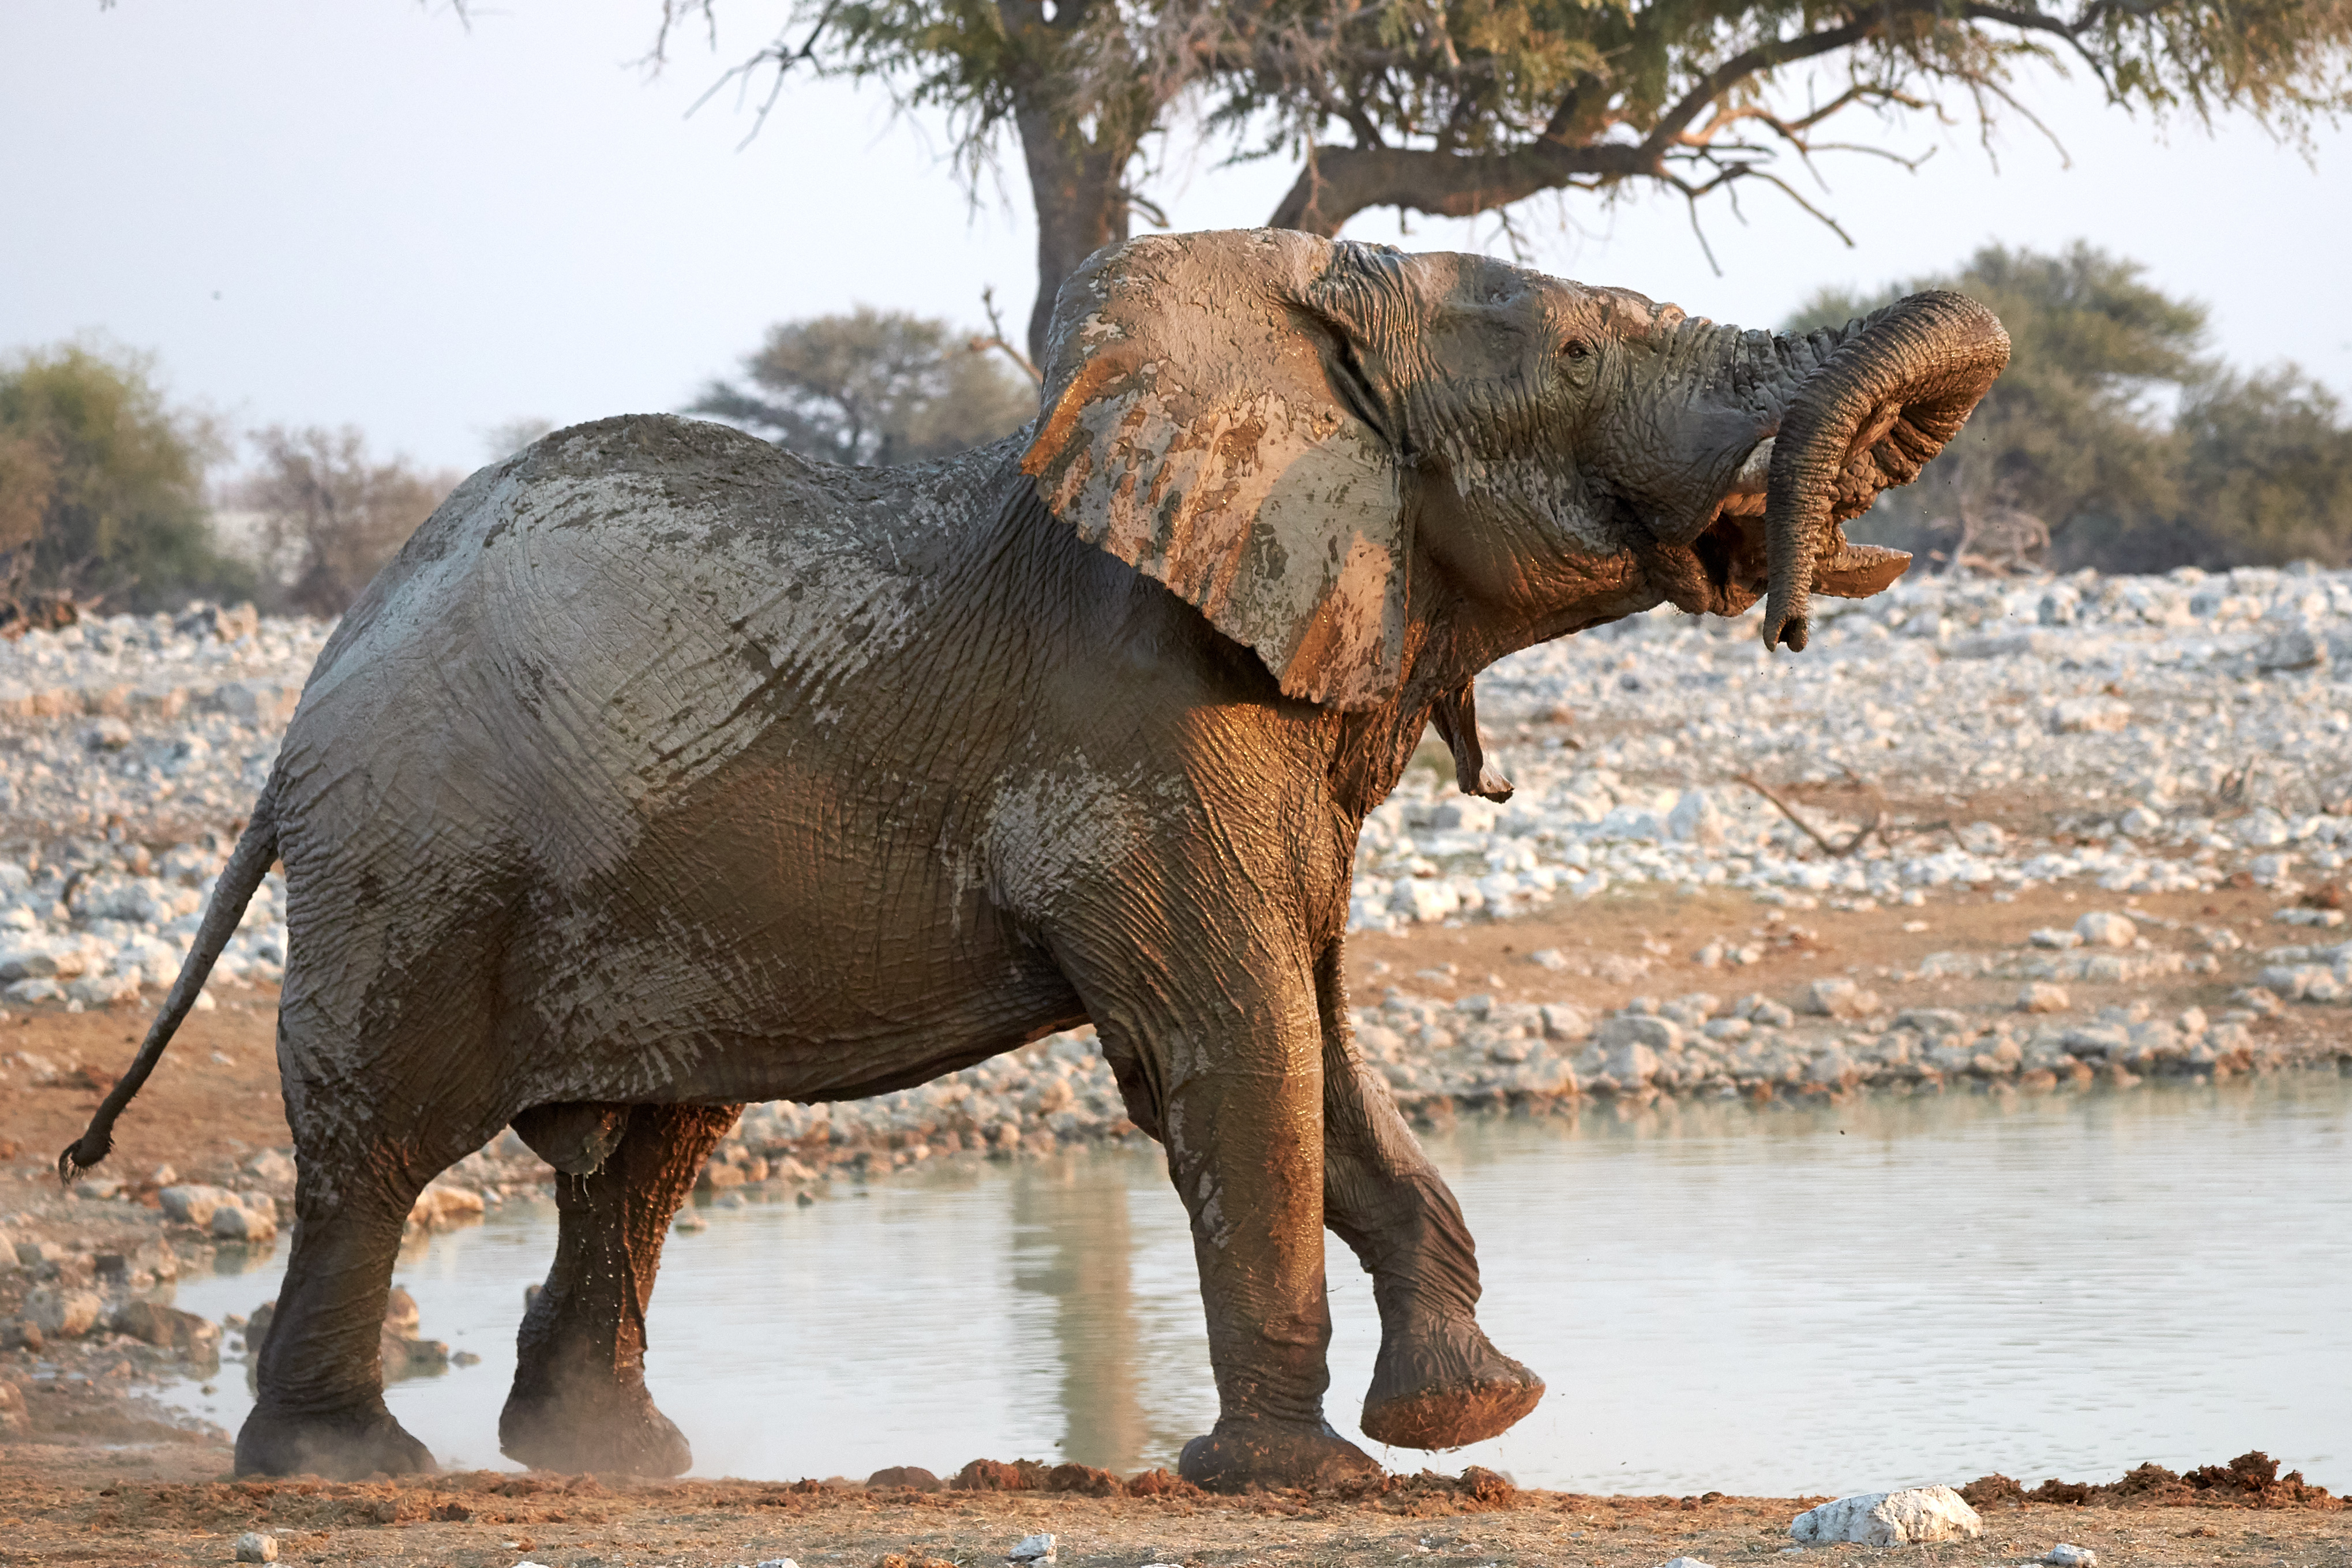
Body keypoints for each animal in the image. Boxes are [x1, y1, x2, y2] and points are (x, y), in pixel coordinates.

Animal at [59, 227, 2004, 1495]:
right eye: (1584, 355)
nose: (1790, 611)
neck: (1290, 319)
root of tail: (315, 688)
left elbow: (1319, 1030)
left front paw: (1473, 1418)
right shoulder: (1139, 727)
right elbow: (1238, 1042)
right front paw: (1305, 1482)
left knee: (650, 1148)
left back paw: (612, 1462)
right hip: (417, 853)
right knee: (378, 1146)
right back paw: (343, 1468)